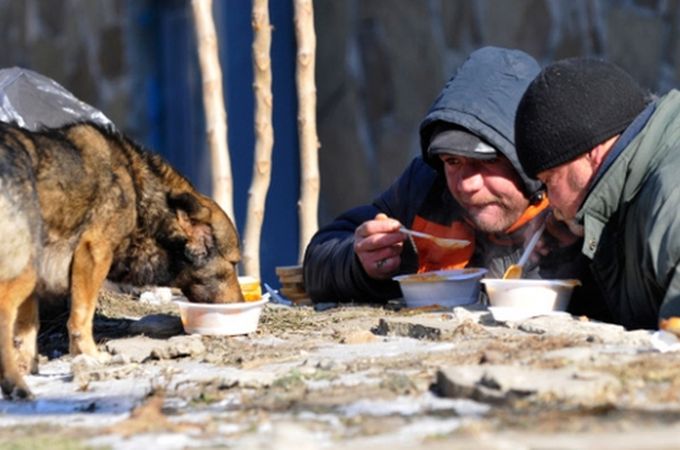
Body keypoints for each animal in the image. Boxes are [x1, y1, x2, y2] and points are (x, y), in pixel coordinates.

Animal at [0, 121, 244, 400]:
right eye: (233, 263)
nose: (242, 305)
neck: (140, 195)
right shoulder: (94, 253)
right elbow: (81, 318)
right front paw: (89, 356)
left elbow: (27, 327)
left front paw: (27, 365)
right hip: (24, 271)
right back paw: (14, 384)